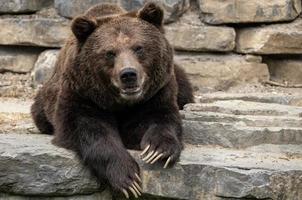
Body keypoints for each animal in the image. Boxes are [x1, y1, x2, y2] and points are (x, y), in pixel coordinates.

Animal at [31, 2, 193, 198]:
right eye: (110, 53)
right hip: (43, 103)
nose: (128, 74)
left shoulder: (157, 92)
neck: (121, 102)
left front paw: (157, 151)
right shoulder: (82, 94)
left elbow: (162, 118)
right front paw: (127, 178)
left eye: (138, 47)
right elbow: (89, 129)